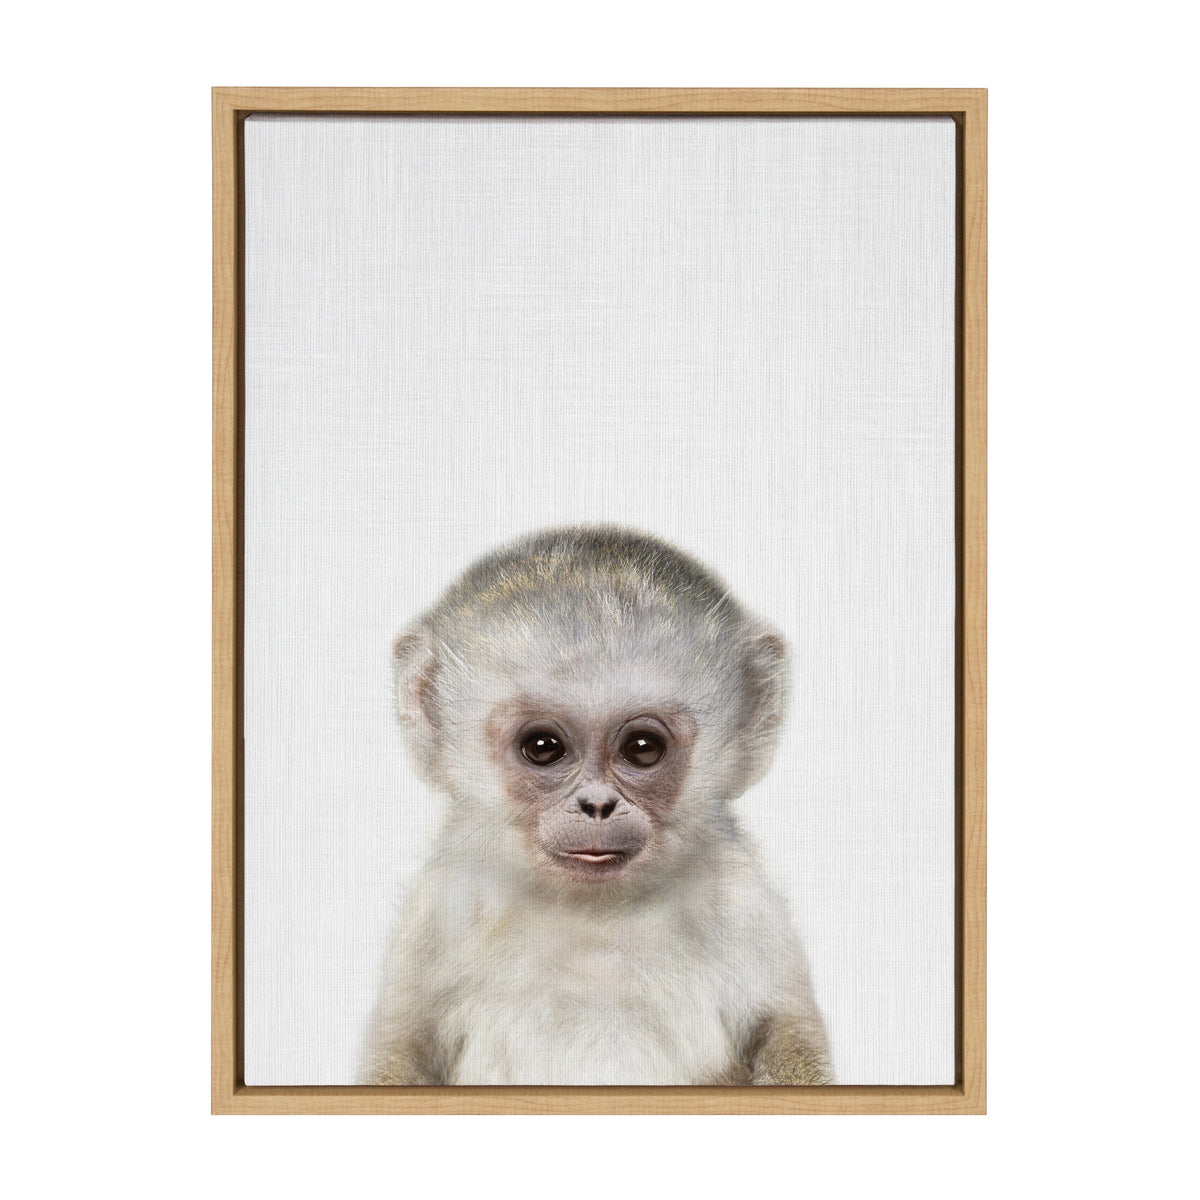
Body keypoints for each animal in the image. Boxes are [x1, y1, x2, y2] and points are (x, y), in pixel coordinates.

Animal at [360, 526, 832, 1086]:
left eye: (643, 748)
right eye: (543, 747)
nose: (598, 805)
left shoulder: (742, 899)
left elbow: (788, 1031)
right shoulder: (442, 904)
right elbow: (401, 1047)